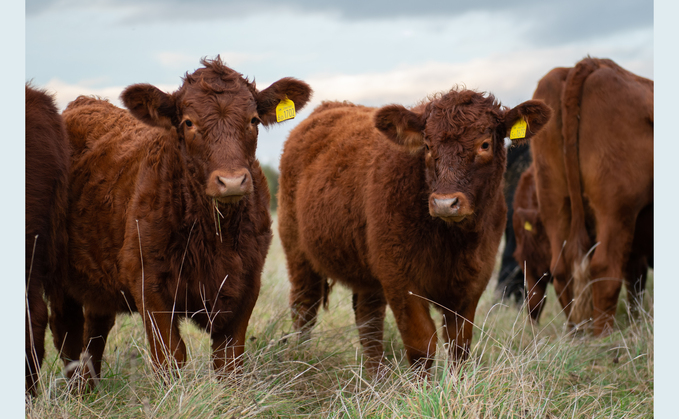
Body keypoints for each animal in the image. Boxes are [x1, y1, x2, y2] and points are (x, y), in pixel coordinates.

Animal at [53, 57, 314, 386]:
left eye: (254, 120)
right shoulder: (148, 284)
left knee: (94, 335)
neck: (214, 235)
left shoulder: (248, 282)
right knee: (67, 337)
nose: (231, 181)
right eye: (189, 122)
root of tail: (85, 101)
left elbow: (229, 362)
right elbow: (170, 357)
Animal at [282, 92, 552, 374]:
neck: (453, 242)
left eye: (485, 145)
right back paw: (301, 357)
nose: (445, 203)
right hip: (298, 254)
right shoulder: (400, 281)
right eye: (428, 146)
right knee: (305, 308)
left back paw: (376, 376)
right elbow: (422, 345)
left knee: (368, 320)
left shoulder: (474, 281)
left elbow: (459, 345)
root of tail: (330, 106)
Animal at [524, 58, 652, 334]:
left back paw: (577, 332)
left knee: (562, 271)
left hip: (554, 201)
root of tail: (591, 64)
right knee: (605, 269)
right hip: (616, 210)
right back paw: (602, 335)